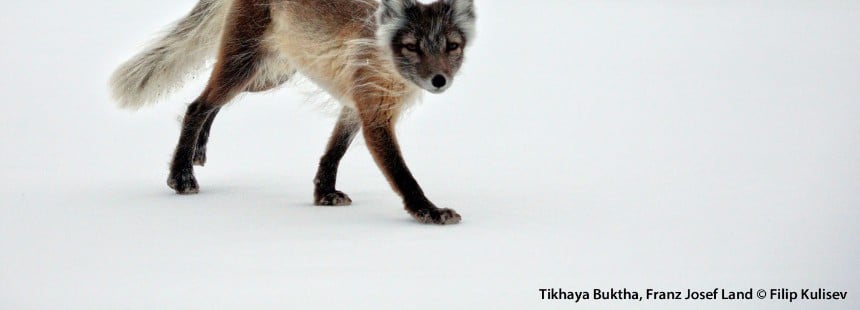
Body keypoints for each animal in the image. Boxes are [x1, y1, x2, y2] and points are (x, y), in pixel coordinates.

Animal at [109, 0, 478, 224]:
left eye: (452, 46)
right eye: (412, 47)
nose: (439, 80)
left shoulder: (353, 106)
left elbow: (332, 154)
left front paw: (323, 193)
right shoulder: (373, 116)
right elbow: (403, 175)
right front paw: (427, 211)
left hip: (267, 76)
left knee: (207, 102)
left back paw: (198, 151)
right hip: (244, 66)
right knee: (197, 106)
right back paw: (182, 176)